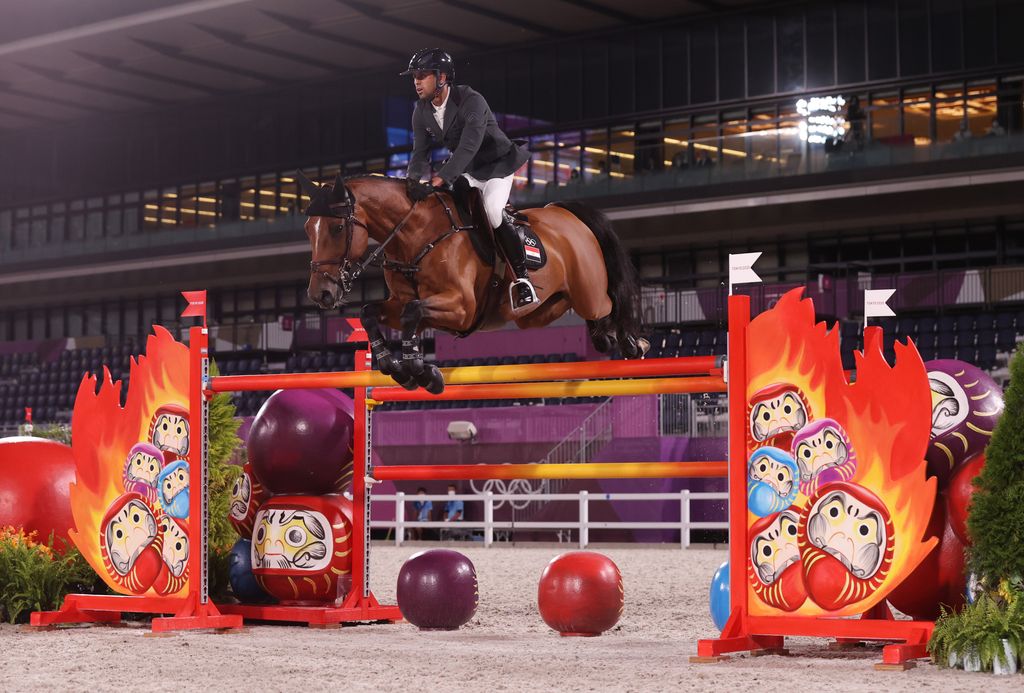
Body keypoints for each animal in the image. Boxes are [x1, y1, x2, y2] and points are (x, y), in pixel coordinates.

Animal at [299, 171, 643, 395]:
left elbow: (413, 313)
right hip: (540, 313)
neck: (415, 235)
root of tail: (566, 214)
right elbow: (372, 312)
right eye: (307, 230)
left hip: (590, 293)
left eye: (336, 229)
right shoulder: (404, 305)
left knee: (611, 303)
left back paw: (632, 343)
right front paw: (395, 366)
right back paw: (605, 339)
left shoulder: (461, 309)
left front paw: (420, 371)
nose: (320, 294)